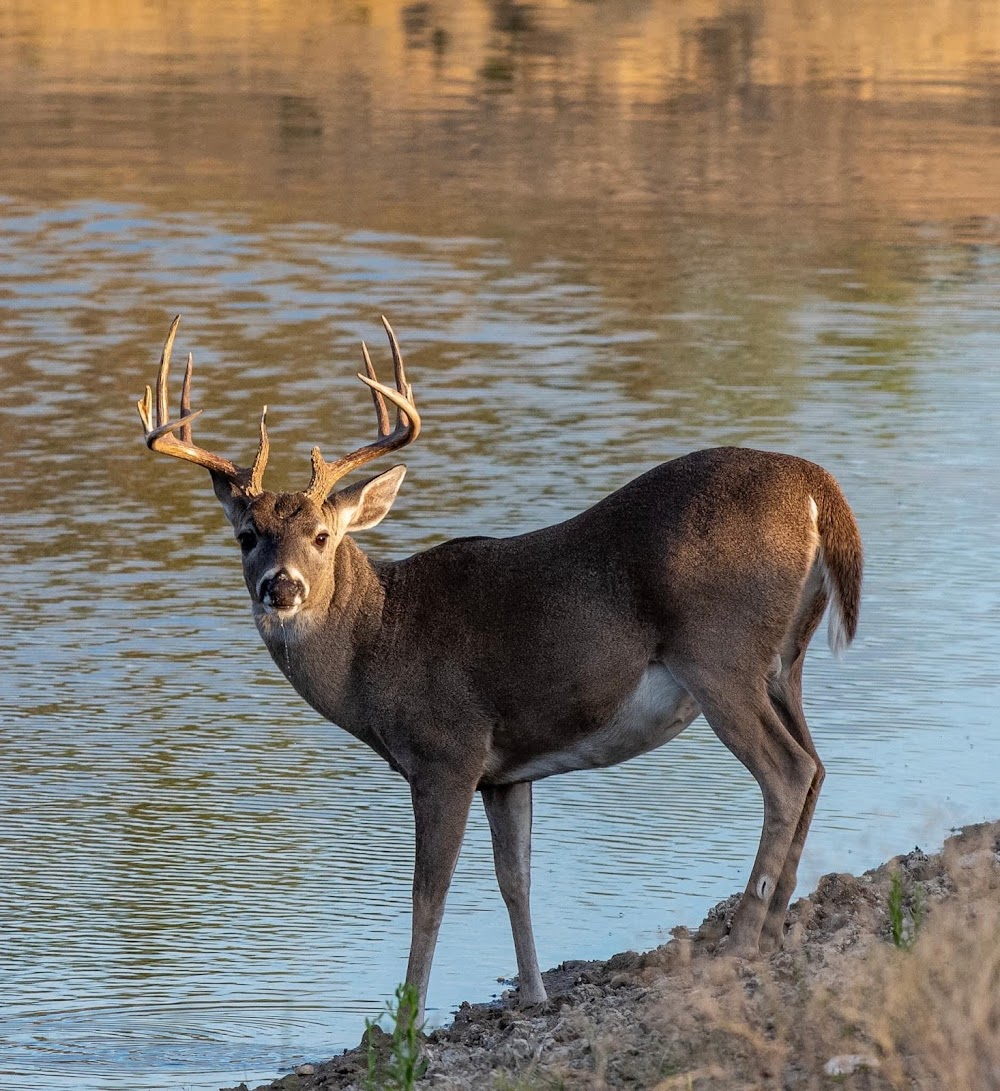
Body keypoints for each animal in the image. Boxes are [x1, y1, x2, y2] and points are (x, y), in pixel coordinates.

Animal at [136, 316, 863, 1021]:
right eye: (246, 536)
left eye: (321, 535)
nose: (280, 588)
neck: (379, 639)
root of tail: (816, 488)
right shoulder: (506, 773)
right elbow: (516, 878)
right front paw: (534, 995)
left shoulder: (447, 751)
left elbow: (427, 895)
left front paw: (405, 1025)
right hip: (784, 661)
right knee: (817, 765)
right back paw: (774, 931)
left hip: (720, 654)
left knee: (787, 771)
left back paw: (740, 943)